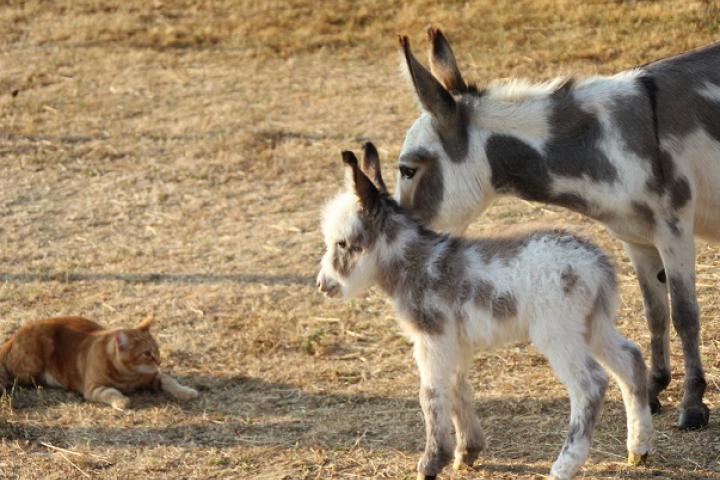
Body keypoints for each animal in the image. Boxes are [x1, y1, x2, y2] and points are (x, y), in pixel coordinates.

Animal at [0, 316, 197, 408]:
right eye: (147, 353)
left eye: (157, 349)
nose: (159, 361)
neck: (128, 377)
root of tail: (13, 337)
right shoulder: (94, 388)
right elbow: (111, 392)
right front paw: (121, 401)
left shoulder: (155, 376)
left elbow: (171, 381)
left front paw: (186, 392)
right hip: (30, 367)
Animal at [316, 144, 652, 480]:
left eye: (343, 243)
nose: (322, 285)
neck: (417, 263)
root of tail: (597, 264)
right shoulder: (455, 343)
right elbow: (458, 388)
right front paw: (467, 452)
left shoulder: (432, 339)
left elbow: (431, 396)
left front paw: (430, 464)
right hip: (593, 325)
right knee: (630, 360)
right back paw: (638, 450)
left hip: (558, 334)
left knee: (589, 384)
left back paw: (564, 466)